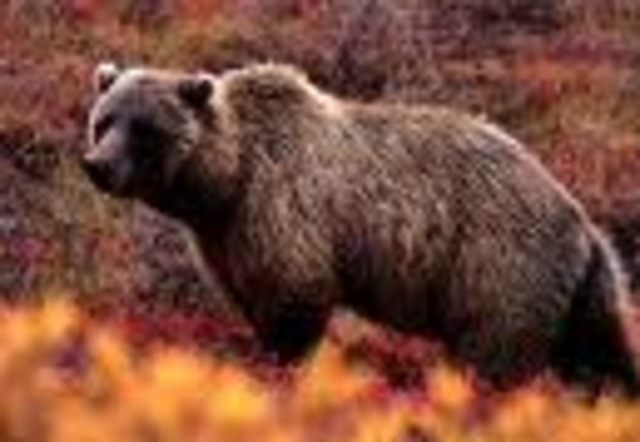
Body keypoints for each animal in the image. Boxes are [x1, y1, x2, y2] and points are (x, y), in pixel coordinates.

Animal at [82, 62, 640, 395]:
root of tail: (581, 220)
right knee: (599, 352)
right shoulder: (225, 236)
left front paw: (285, 365)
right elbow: (248, 295)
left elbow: (294, 299)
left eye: (143, 128)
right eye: (104, 120)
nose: (97, 166)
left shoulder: (281, 210)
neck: (225, 181)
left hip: (499, 264)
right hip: (582, 285)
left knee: (495, 353)